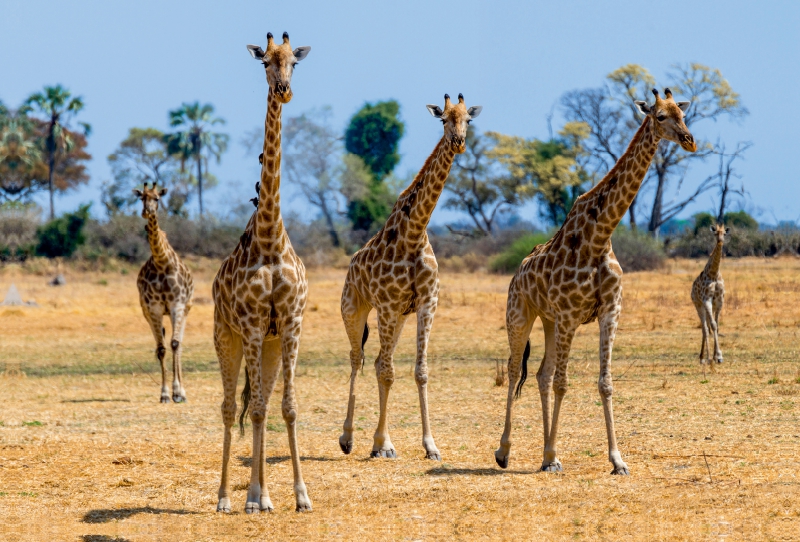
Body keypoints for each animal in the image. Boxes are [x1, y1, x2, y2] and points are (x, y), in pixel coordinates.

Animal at [133, 182, 194, 404]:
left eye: (157, 198)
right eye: (141, 197)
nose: (146, 212)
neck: (161, 261)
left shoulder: (177, 305)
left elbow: (175, 344)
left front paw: (177, 392)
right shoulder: (155, 308)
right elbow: (161, 349)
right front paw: (165, 394)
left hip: (186, 310)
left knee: (180, 344)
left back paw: (183, 393)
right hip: (148, 314)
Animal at [496, 89, 696, 476]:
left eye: (683, 113)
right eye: (660, 116)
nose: (689, 140)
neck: (600, 235)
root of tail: (517, 272)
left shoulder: (609, 312)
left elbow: (604, 383)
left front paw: (617, 460)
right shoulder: (570, 315)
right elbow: (564, 383)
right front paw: (549, 455)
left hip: (549, 321)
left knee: (540, 374)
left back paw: (547, 453)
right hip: (521, 314)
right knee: (515, 371)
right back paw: (505, 451)